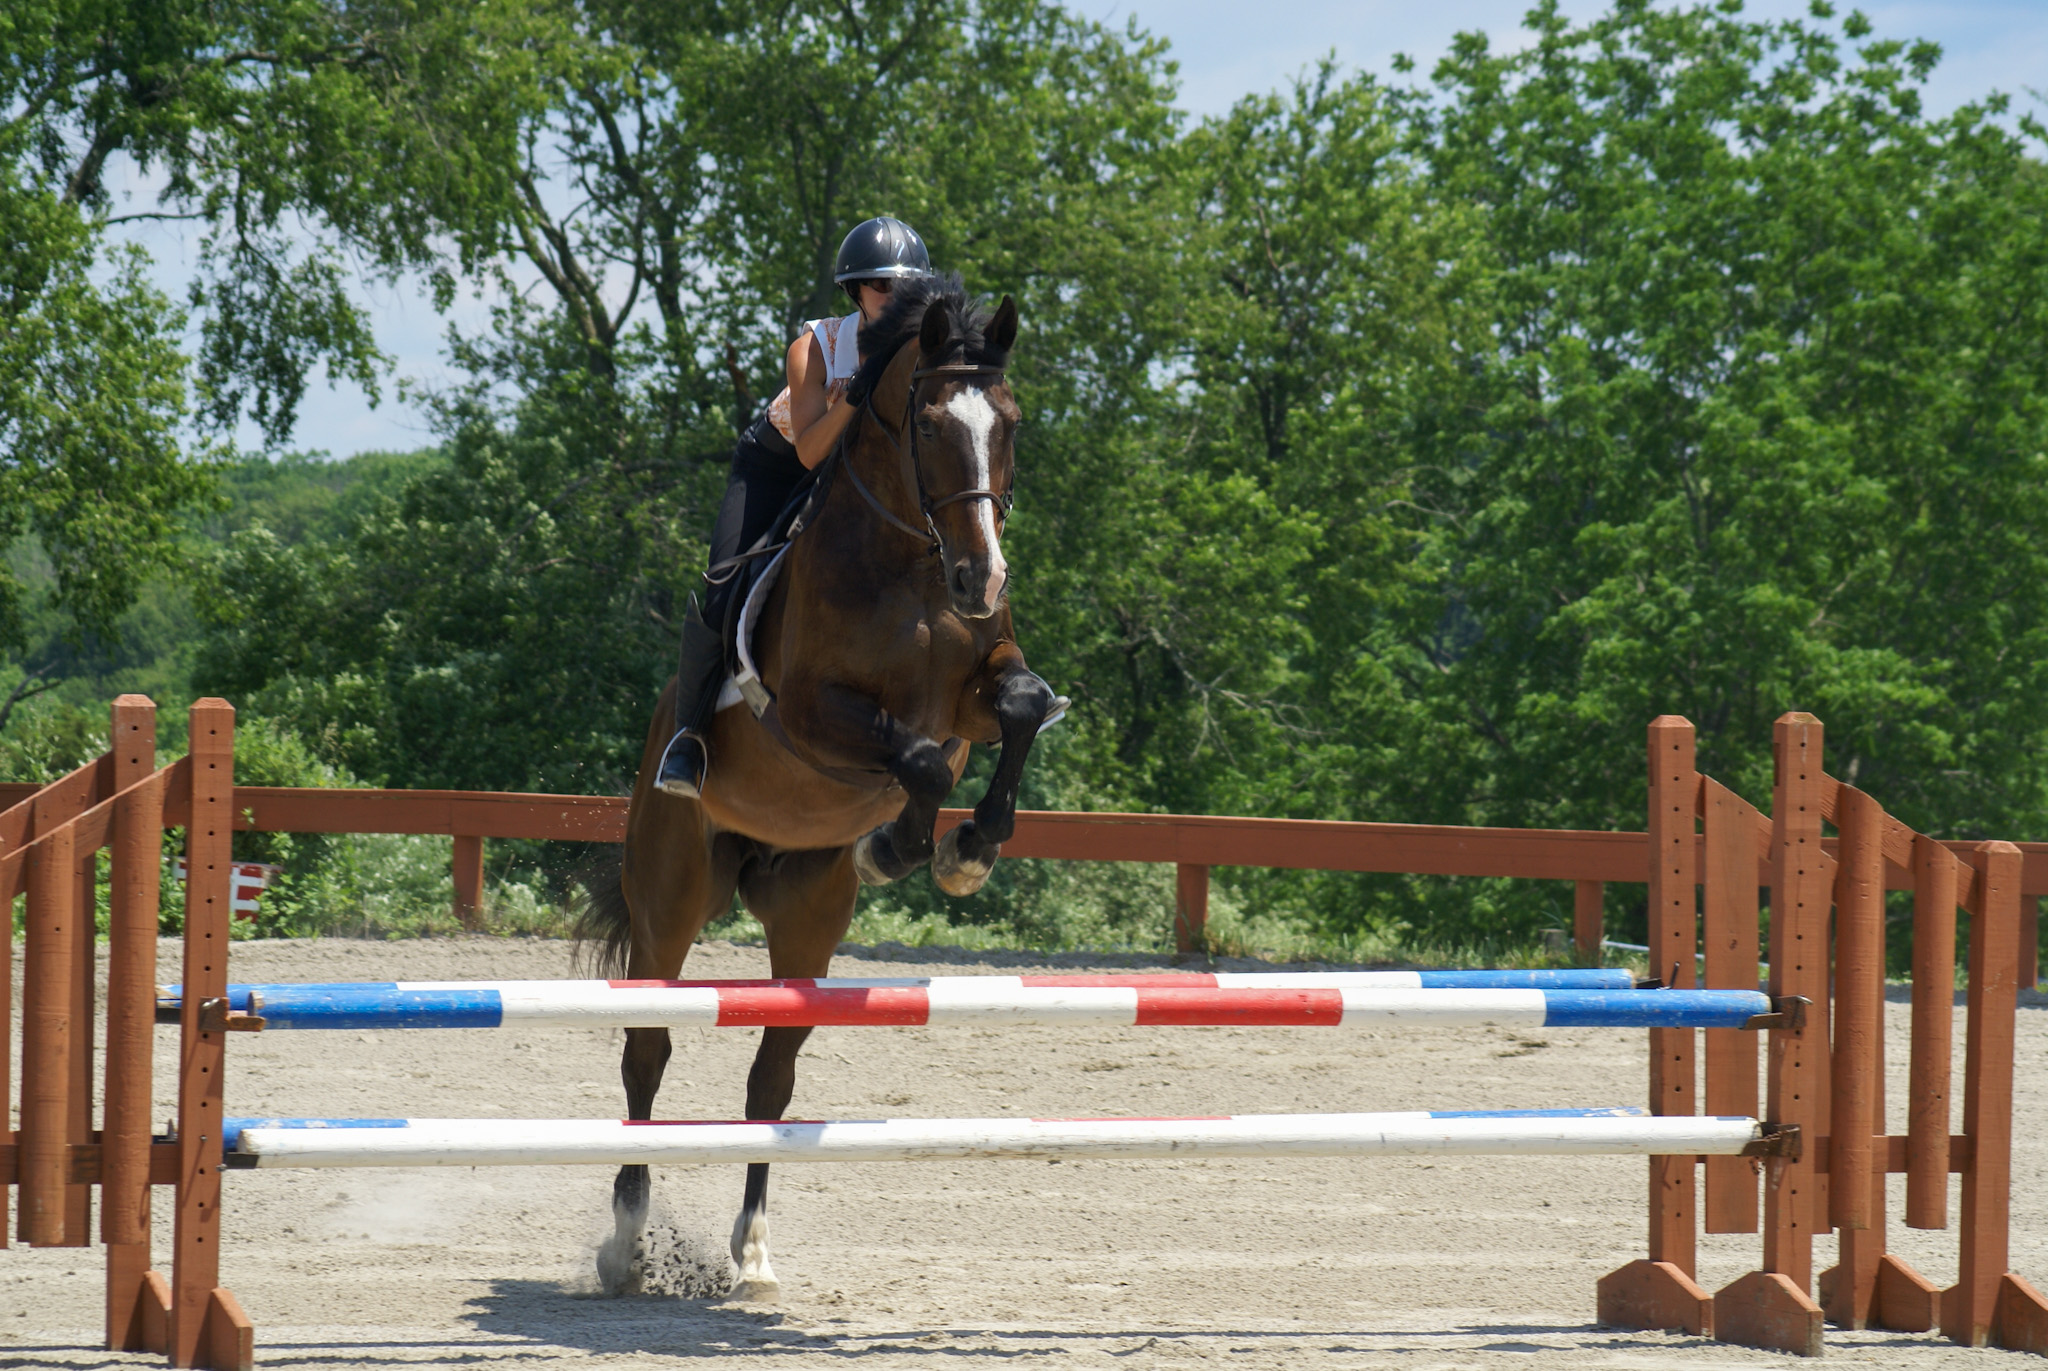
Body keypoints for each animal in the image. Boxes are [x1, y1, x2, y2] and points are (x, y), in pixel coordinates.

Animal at [577, 275, 1062, 1301]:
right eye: (929, 424)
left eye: (1010, 422)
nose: (982, 576)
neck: (914, 562)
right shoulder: (808, 714)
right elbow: (916, 760)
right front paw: (914, 844)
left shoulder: (975, 691)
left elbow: (1021, 706)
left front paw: (965, 846)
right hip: (670, 893)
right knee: (648, 1049)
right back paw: (627, 1241)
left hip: (807, 916)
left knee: (771, 1075)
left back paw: (753, 1251)